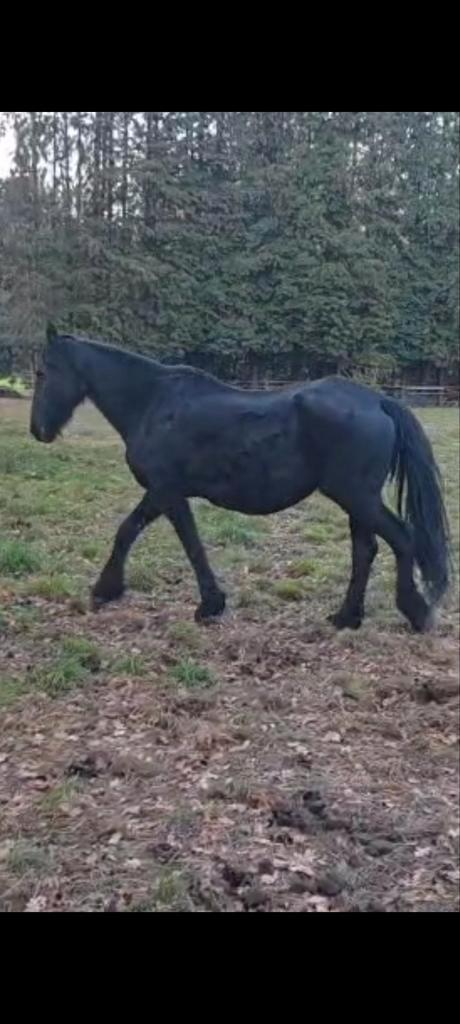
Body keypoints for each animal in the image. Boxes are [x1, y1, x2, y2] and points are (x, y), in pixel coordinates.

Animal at [30, 325, 451, 633]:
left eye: (42, 372)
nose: (38, 430)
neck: (153, 403)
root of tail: (378, 400)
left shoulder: (165, 490)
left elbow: (156, 537)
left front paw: (114, 591)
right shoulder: (168, 494)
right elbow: (160, 536)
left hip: (356, 496)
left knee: (401, 539)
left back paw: (416, 612)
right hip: (357, 500)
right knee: (366, 550)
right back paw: (347, 618)